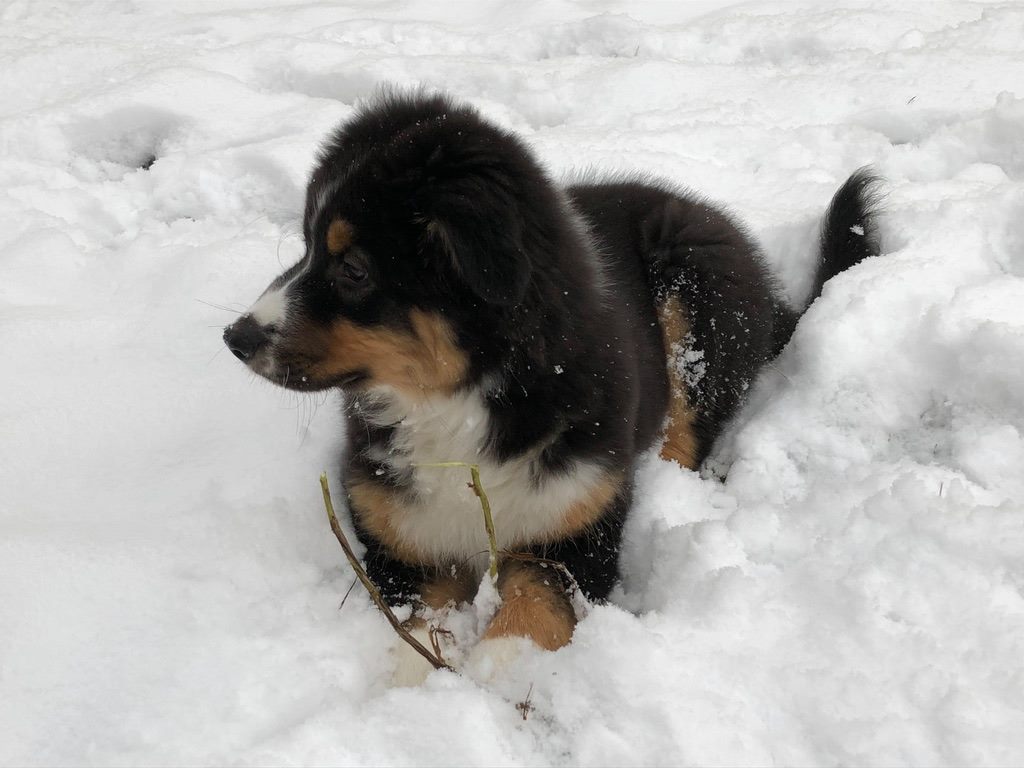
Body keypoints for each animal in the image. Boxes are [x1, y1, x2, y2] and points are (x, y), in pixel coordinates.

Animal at [223, 90, 879, 682]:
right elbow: (415, 633)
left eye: (354, 269)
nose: (235, 337)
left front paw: (501, 680)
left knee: (688, 428)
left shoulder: (573, 528)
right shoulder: (401, 542)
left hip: (695, 282)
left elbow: (535, 609)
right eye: (307, 246)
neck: (456, 405)